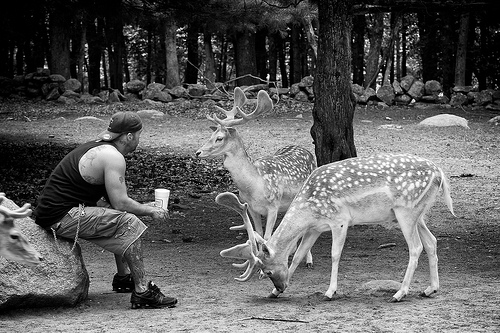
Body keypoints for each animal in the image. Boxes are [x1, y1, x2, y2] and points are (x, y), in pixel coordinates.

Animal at [195, 87, 316, 266]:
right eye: (210, 136)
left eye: (219, 138)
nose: (198, 152)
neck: (254, 185)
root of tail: (305, 149)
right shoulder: (251, 207)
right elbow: (257, 233)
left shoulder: (273, 205)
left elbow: (267, 236)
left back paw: (308, 260)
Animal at [217, 153, 456, 300]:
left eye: (266, 271)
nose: (280, 287)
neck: (309, 209)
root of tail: (440, 173)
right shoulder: (314, 228)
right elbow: (298, 255)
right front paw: (275, 294)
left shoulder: (339, 219)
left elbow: (335, 254)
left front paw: (329, 291)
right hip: (419, 213)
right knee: (432, 242)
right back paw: (430, 289)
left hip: (406, 211)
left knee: (416, 247)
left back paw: (400, 293)